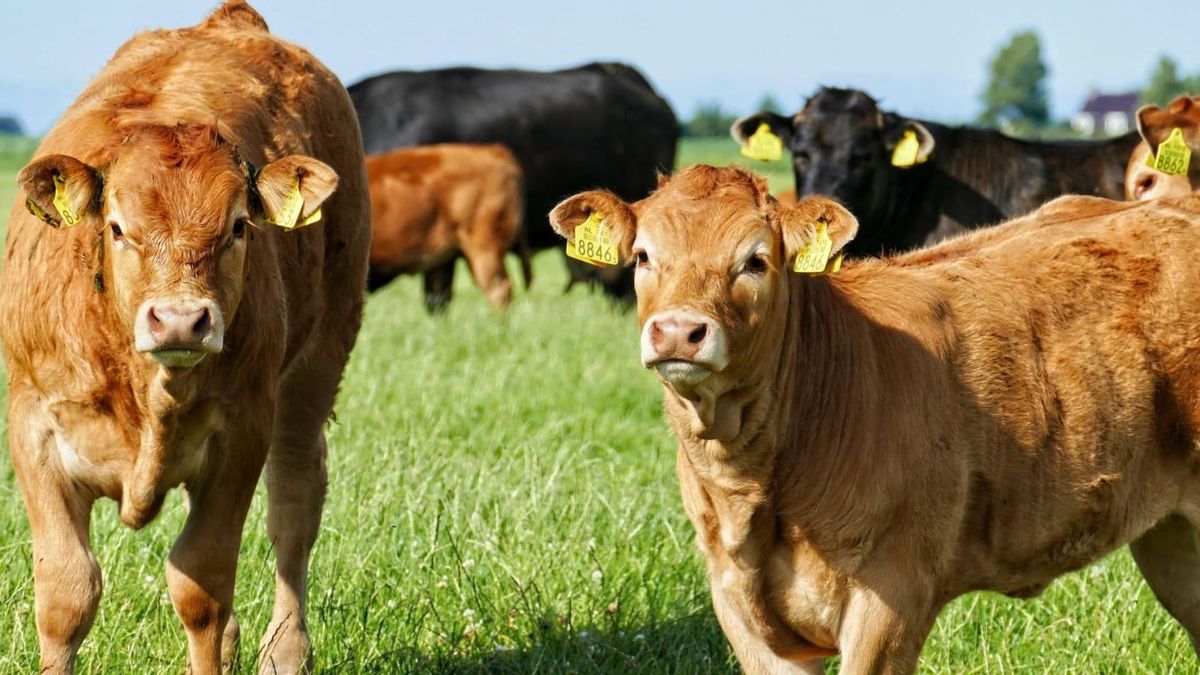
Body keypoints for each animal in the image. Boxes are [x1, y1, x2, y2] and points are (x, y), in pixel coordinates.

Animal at [0, 3, 370, 673]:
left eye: (239, 226)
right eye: (117, 228)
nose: (178, 320)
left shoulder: (242, 430)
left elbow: (201, 586)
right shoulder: (33, 425)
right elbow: (66, 593)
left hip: (321, 359)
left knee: (294, 504)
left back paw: (285, 649)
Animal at [549, 164, 1200, 674]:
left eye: (755, 261)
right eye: (643, 256)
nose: (679, 331)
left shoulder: (891, 595)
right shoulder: (737, 602)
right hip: (1171, 537)